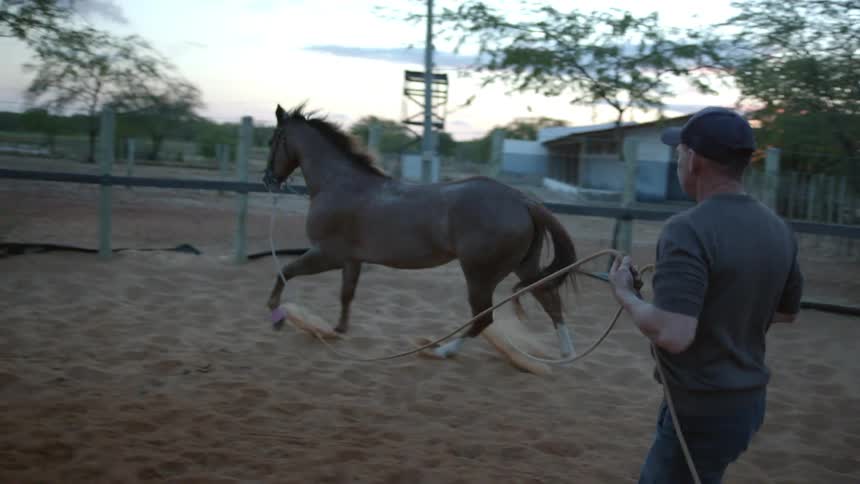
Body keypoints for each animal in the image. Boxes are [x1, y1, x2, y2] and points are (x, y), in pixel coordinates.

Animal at [263, 103, 579, 359]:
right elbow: (346, 295)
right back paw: (566, 354)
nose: (267, 180)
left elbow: (285, 271)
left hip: (479, 276)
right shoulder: (352, 260)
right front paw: (338, 330)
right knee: (550, 301)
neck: (339, 184)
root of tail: (522, 201)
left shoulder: (329, 254)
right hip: (524, 267)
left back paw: (443, 350)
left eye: (272, 140)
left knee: (483, 319)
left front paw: (275, 313)